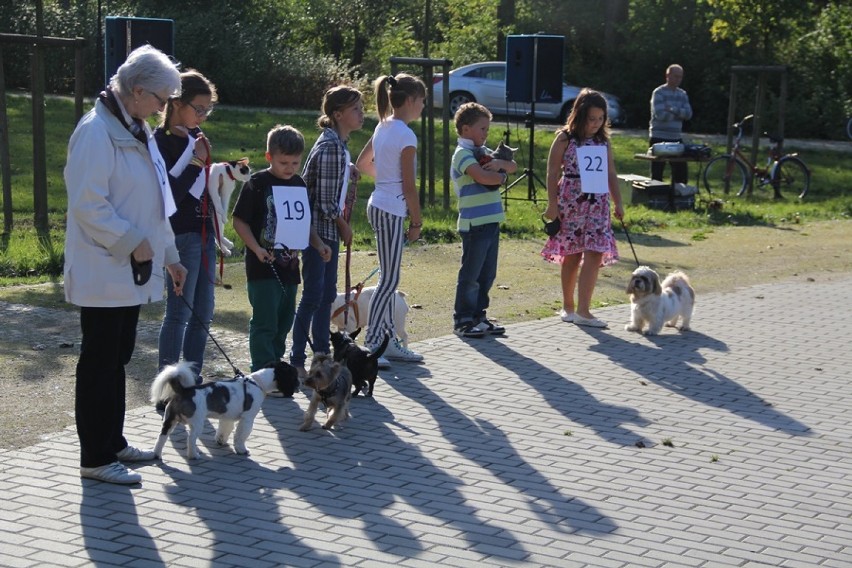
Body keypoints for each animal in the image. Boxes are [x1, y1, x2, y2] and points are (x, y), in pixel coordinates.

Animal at [151, 362, 302, 460]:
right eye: (294, 376)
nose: (300, 384)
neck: (257, 382)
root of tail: (184, 391)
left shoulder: (227, 418)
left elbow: (224, 430)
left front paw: (221, 441)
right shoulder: (247, 419)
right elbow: (241, 436)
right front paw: (242, 450)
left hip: (169, 421)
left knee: (161, 438)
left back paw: (156, 455)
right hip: (197, 423)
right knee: (191, 439)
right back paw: (194, 455)